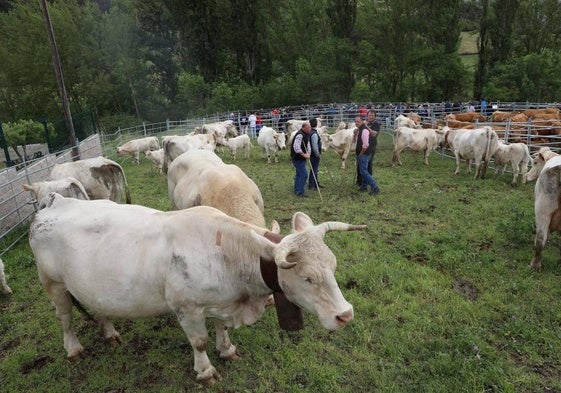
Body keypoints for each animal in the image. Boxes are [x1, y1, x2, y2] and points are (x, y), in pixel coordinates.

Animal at [29, 193, 364, 382]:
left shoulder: (220, 303)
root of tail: (54, 201)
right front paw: (205, 371)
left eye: (332, 266)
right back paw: (73, 349)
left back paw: (110, 333)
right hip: (53, 283)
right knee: (65, 318)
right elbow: (199, 342)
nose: (345, 315)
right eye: (307, 277)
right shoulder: (186, 309)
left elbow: (222, 330)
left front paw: (227, 350)